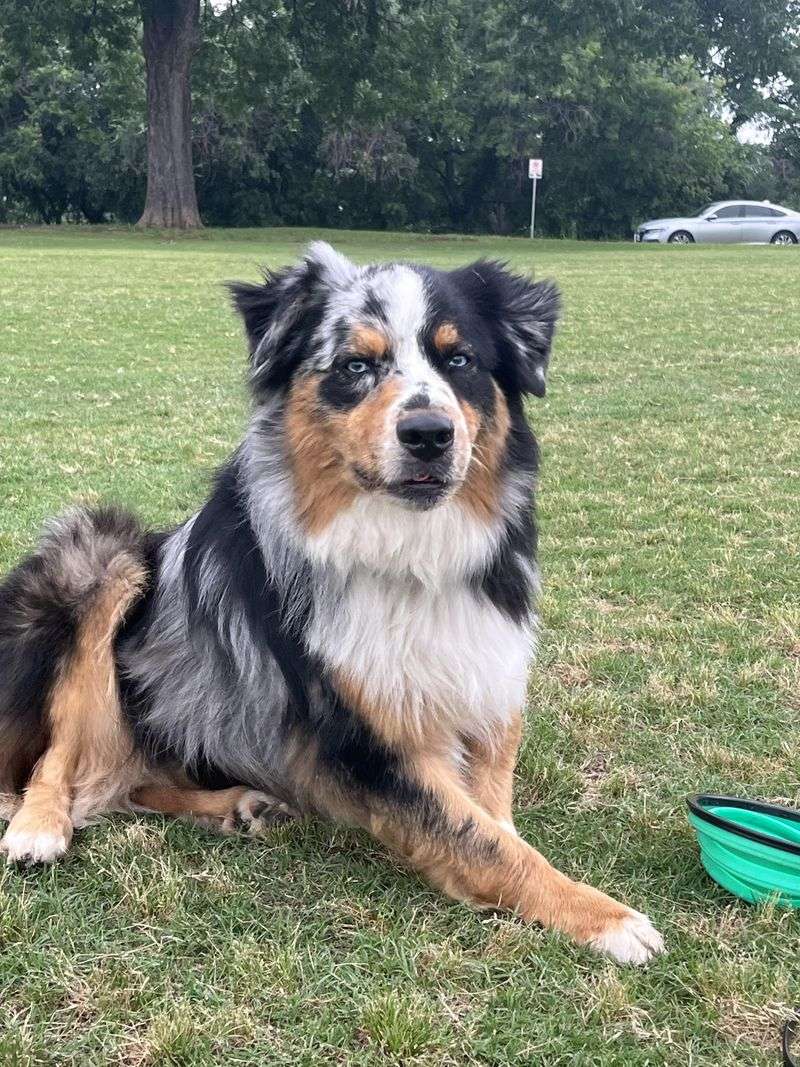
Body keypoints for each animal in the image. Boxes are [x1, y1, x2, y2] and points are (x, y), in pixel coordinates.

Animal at [0, 244, 665, 968]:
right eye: (355, 365)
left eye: (460, 360)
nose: (429, 433)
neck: (409, 550)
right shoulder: (365, 740)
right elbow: (481, 836)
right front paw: (605, 917)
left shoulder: (485, 679)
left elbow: (492, 816)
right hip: (105, 559)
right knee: (59, 749)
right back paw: (39, 825)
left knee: (131, 779)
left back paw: (236, 805)